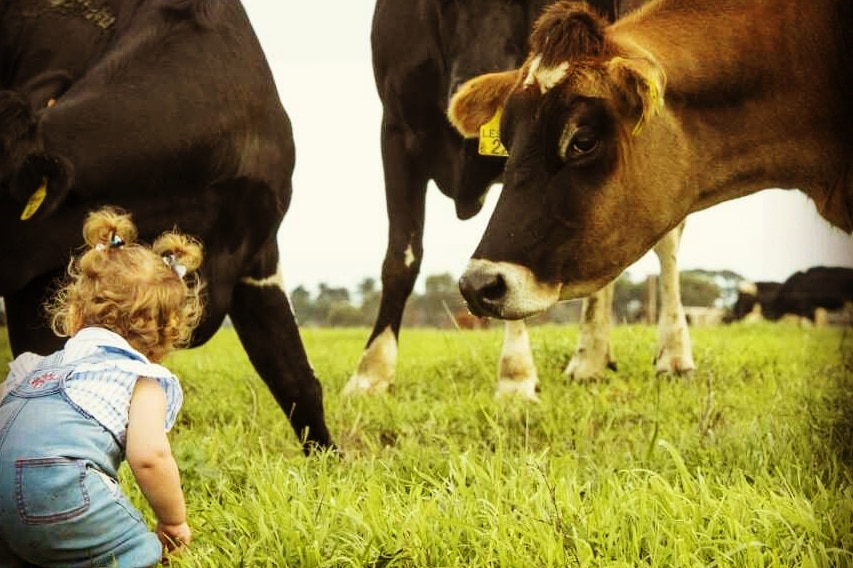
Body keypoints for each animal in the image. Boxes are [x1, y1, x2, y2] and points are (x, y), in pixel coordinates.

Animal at [346, 0, 692, 402]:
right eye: (441, 5)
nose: (472, 84)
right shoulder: (396, 132)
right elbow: (400, 259)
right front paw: (371, 372)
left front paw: (515, 375)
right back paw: (590, 358)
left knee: (666, 241)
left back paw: (673, 354)